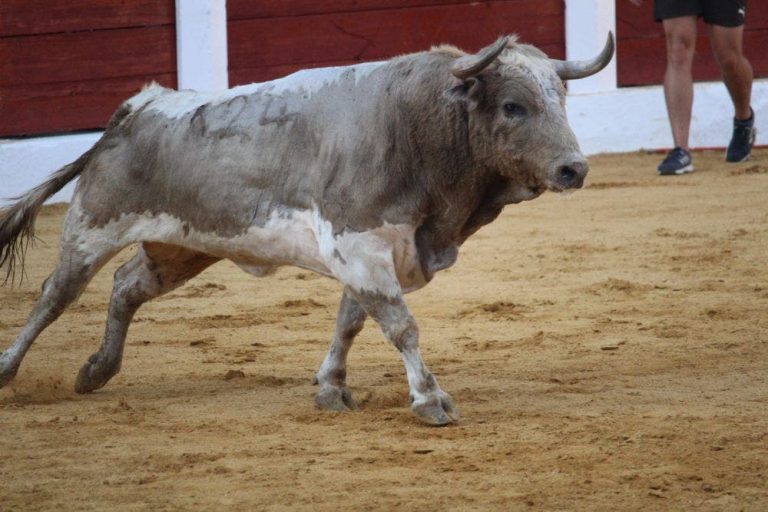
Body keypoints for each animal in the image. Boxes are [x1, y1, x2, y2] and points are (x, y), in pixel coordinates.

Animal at [0, 33, 612, 424]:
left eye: (560, 99)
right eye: (513, 106)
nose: (573, 169)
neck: (417, 126)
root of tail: (137, 106)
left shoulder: (373, 256)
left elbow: (351, 323)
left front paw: (331, 388)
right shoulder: (360, 247)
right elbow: (401, 327)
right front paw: (429, 400)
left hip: (181, 246)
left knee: (126, 286)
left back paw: (97, 370)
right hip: (91, 225)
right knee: (54, 296)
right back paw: (8, 370)